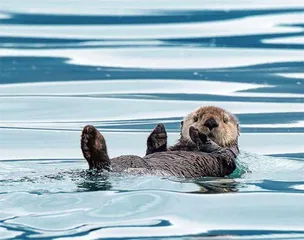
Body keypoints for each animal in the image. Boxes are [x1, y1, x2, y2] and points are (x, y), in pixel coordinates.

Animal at [80, 105, 240, 178]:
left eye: (225, 120)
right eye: (196, 118)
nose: (211, 122)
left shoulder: (229, 156)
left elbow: (223, 156)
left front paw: (199, 136)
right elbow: (153, 150)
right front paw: (159, 134)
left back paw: (91, 140)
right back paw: (89, 138)